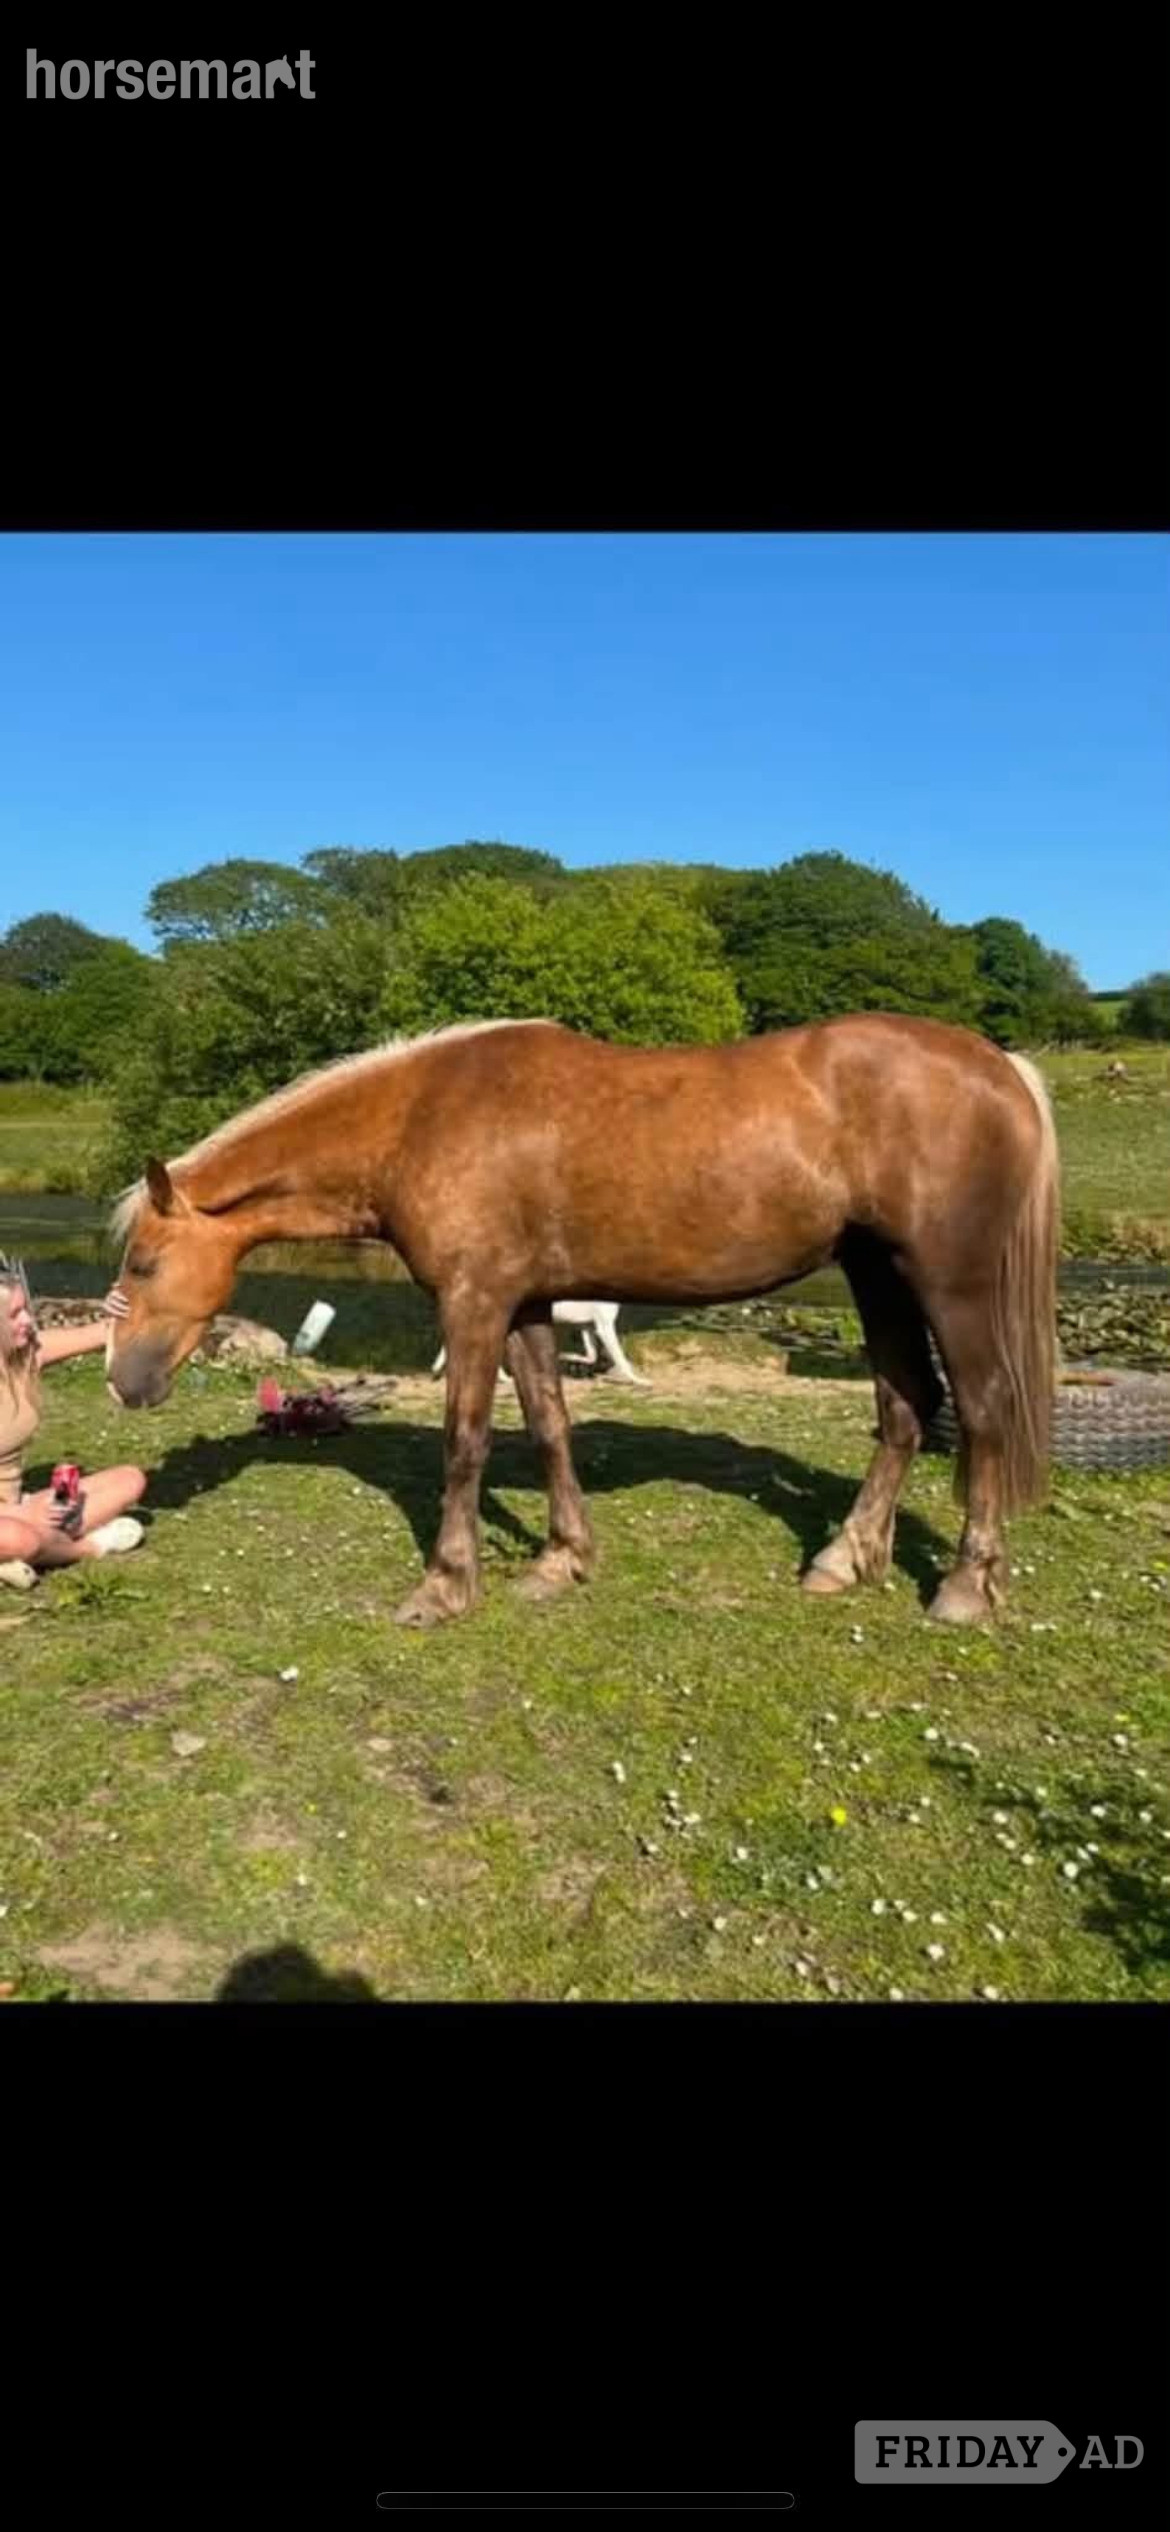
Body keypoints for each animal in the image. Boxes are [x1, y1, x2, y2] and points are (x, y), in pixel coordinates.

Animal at [431, 1297, 651, 1388]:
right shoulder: (604, 1327)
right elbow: (622, 1360)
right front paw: (640, 1381)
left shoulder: (588, 1326)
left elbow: (591, 1356)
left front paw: (565, 1358)